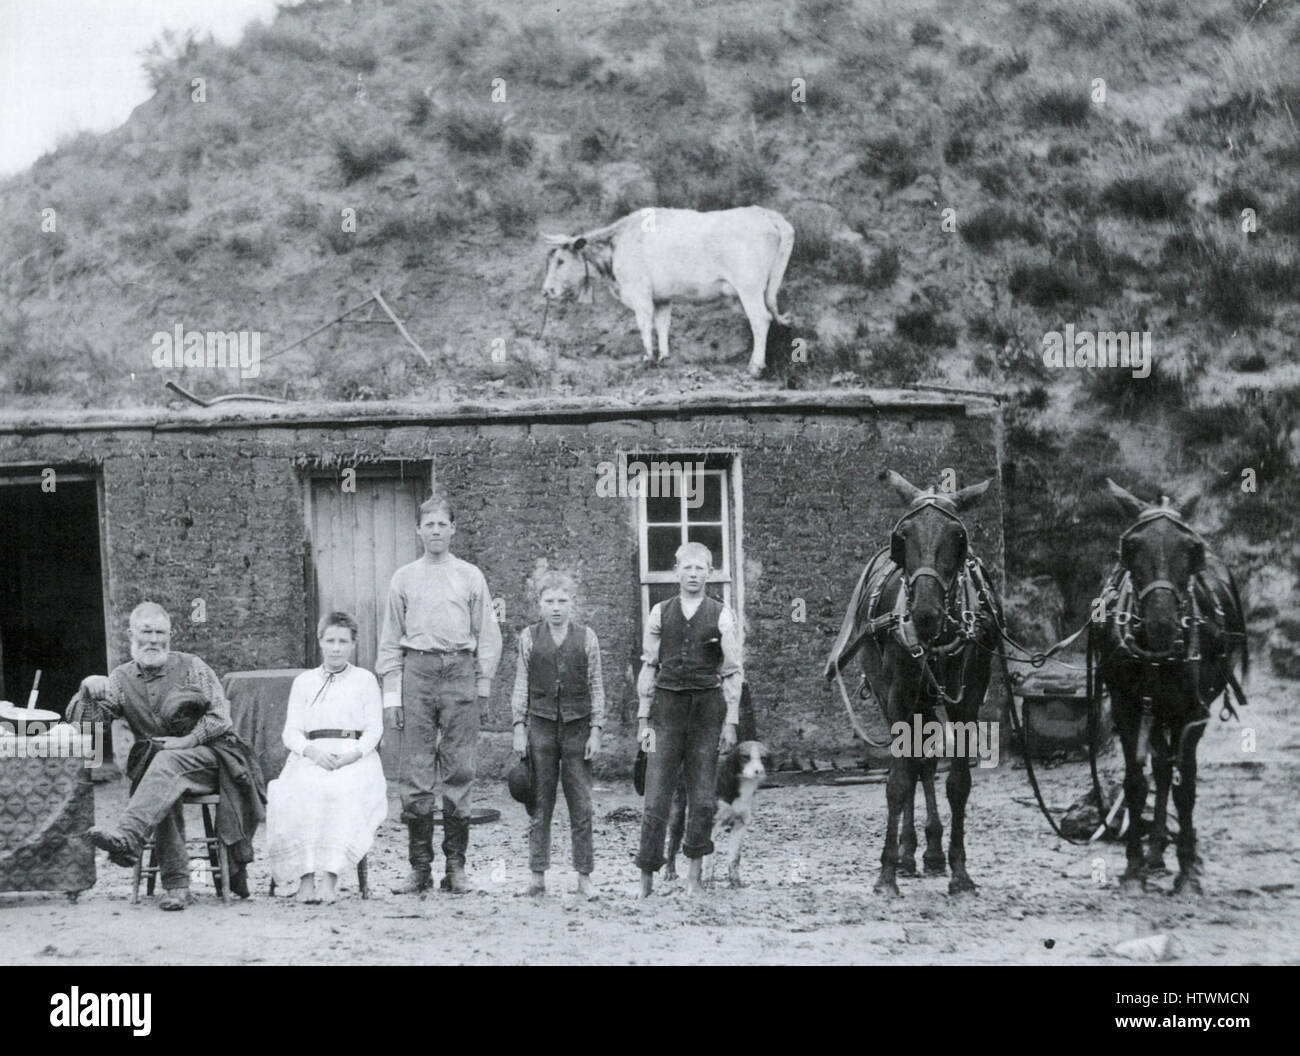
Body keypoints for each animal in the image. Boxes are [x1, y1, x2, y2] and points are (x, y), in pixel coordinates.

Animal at [538, 204, 790, 377]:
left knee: (760, 319)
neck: (617, 244)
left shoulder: (640, 293)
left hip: (749, 287)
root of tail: (763, 212)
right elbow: (662, 324)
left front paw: (647, 358)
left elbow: (644, 324)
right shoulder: (661, 297)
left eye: (560, 261)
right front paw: (664, 357)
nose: (546, 291)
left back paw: (755, 367)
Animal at [665, 743, 764, 889]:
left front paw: (735, 880)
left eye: (763, 758)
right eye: (745, 757)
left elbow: (735, 858)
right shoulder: (711, 823)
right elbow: (709, 857)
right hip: (678, 812)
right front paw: (708, 881)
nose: (759, 771)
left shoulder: (740, 825)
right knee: (673, 843)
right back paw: (670, 871)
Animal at [826, 470, 998, 899]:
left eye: (958, 536)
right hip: (893, 695)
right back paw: (909, 853)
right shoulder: (899, 698)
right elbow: (899, 781)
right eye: (902, 537)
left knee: (926, 761)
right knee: (915, 762)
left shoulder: (967, 702)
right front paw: (887, 870)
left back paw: (932, 852)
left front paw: (959, 871)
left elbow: (958, 783)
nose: (924, 613)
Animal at [1097, 483, 1248, 894]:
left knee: (1172, 771)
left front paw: (1188, 871)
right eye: (1130, 547)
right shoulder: (1127, 708)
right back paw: (1154, 852)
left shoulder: (1192, 714)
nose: (1162, 624)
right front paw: (1134, 867)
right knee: (1161, 768)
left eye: (1191, 549)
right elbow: (1136, 782)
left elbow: (1186, 787)